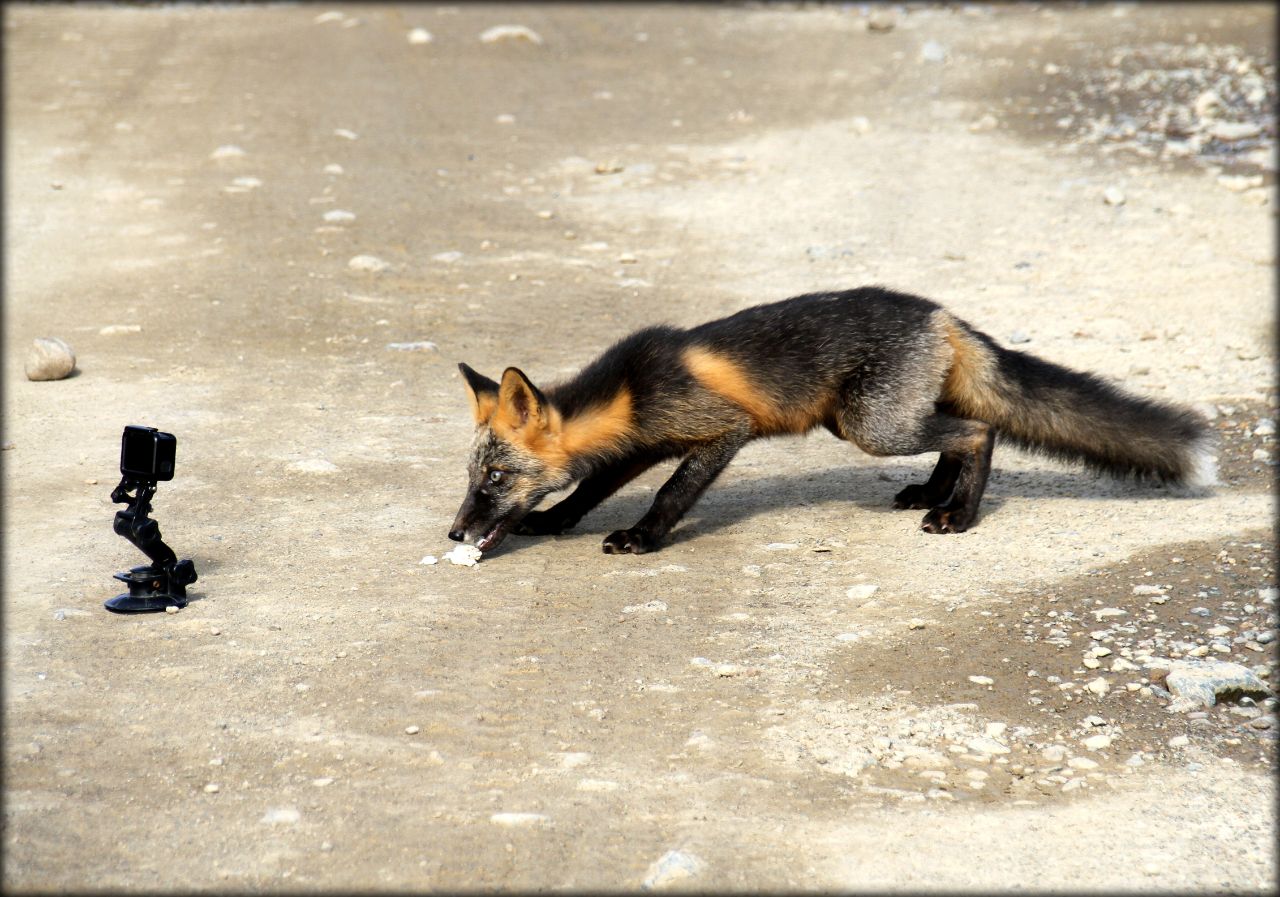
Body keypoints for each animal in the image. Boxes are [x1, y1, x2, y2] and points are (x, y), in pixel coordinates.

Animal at [448, 285, 1208, 552]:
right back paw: (932, 495)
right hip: (872, 418)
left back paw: (958, 515)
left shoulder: (721, 430)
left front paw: (644, 538)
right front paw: (557, 521)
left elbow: (671, 493)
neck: (632, 390)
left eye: (494, 477)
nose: (454, 531)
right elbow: (590, 488)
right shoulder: (645, 440)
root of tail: (939, 311)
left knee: (979, 430)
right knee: (959, 432)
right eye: (474, 475)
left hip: (871, 427)